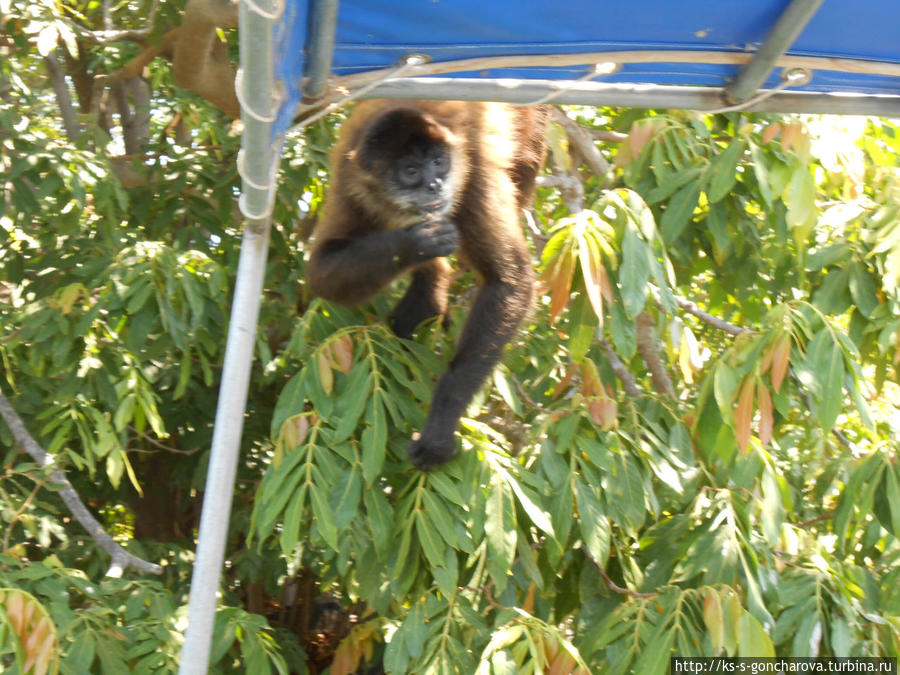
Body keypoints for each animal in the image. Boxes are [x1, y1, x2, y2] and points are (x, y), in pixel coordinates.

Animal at [308, 100, 548, 470]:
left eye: (438, 162)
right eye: (410, 171)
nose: (435, 185)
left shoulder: (473, 169)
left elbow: (509, 280)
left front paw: (439, 428)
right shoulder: (350, 180)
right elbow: (321, 275)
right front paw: (416, 243)